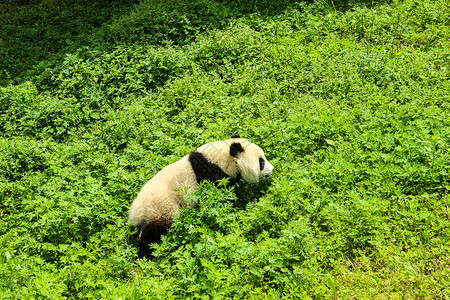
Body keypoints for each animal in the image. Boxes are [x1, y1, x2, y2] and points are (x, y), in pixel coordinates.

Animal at [128, 137, 272, 255]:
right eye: (261, 162)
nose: (272, 169)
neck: (223, 157)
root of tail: (138, 210)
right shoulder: (213, 175)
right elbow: (221, 198)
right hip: (163, 207)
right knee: (159, 228)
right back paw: (148, 250)